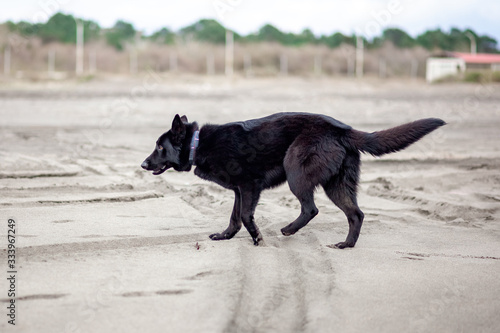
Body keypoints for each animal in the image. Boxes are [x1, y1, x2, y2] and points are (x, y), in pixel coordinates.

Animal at [142, 113, 446, 248]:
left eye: (159, 147)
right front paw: (225, 235)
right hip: (336, 185)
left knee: (311, 208)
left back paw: (289, 230)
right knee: (356, 214)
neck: (198, 143)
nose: (143, 164)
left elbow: (246, 216)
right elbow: (235, 218)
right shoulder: (240, 191)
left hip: (296, 174)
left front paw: (257, 238)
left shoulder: (249, 187)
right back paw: (346, 245)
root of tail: (343, 129)